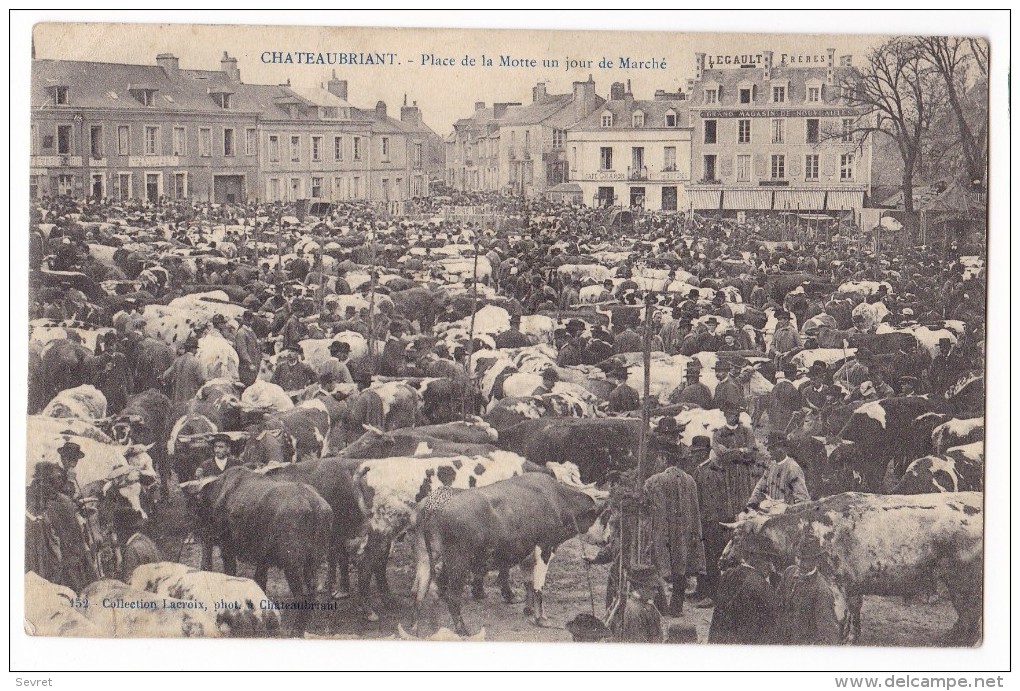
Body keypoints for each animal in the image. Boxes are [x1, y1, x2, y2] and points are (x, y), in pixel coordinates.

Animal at [178, 463, 330, 600]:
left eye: (193, 504)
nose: (192, 531)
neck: (218, 494)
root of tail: (312, 503)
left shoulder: (227, 547)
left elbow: (230, 572)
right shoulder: (263, 556)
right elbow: (260, 580)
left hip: (292, 563)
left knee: (300, 594)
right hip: (313, 560)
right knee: (311, 590)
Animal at [414, 471, 603, 632]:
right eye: (603, 515)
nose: (606, 540)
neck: (557, 500)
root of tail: (437, 503)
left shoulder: (527, 555)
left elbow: (528, 583)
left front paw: (528, 610)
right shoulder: (545, 548)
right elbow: (538, 586)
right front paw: (541, 619)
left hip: (426, 559)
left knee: (420, 593)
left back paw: (415, 628)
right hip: (458, 563)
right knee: (452, 597)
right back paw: (463, 630)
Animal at [722, 489, 983, 640]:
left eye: (736, 536)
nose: (721, 561)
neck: (810, 526)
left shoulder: (835, 584)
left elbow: (840, 620)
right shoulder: (854, 586)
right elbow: (855, 614)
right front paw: (854, 637)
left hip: (963, 582)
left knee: (970, 619)